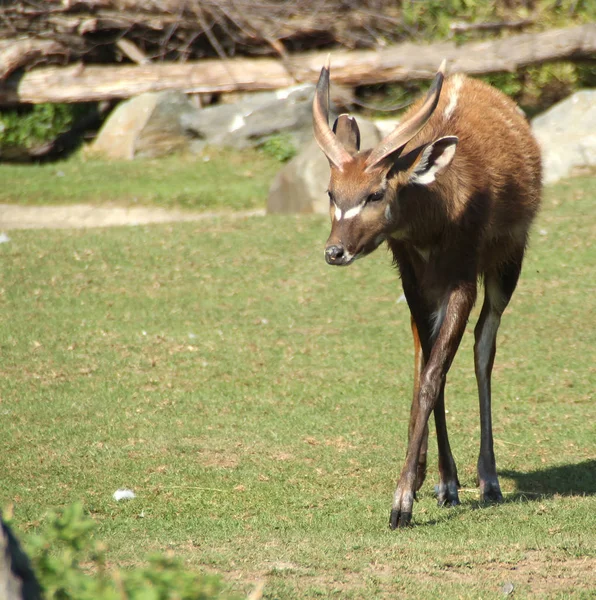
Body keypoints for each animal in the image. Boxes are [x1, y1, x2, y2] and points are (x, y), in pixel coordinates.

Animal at [314, 59, 544, 528]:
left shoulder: (462, 281)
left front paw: (401, 503)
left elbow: (437, 374)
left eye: (375, 192)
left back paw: (489, 480)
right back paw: (444, 482)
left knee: (483, 348)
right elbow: (428, 370)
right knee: (428, 353)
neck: (435, 221)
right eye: (332, 191)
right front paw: (437, 484)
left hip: (509, 263)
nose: (335, 251)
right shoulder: (413, 280)